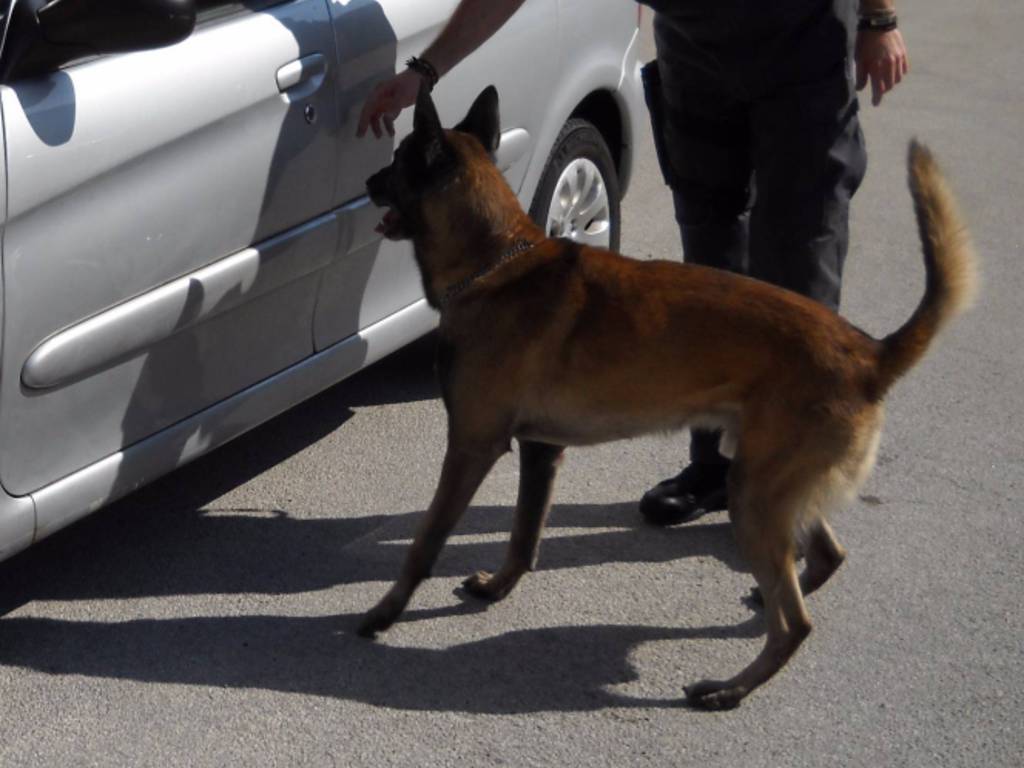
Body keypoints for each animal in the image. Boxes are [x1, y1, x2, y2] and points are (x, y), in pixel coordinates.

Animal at [360, 82, 974, 708]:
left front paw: (385, 612)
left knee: (796, 624)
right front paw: (499, 587)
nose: (367, 180)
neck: (494, 262)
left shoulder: (471, 448)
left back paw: (730, 688)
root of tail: (868, 353)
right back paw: (767, 607)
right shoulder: (540, 451)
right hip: (771, 484)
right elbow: (523, 535)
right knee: (826, 557)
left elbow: (426, 540)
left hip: (754, 496)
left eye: (398, 160)